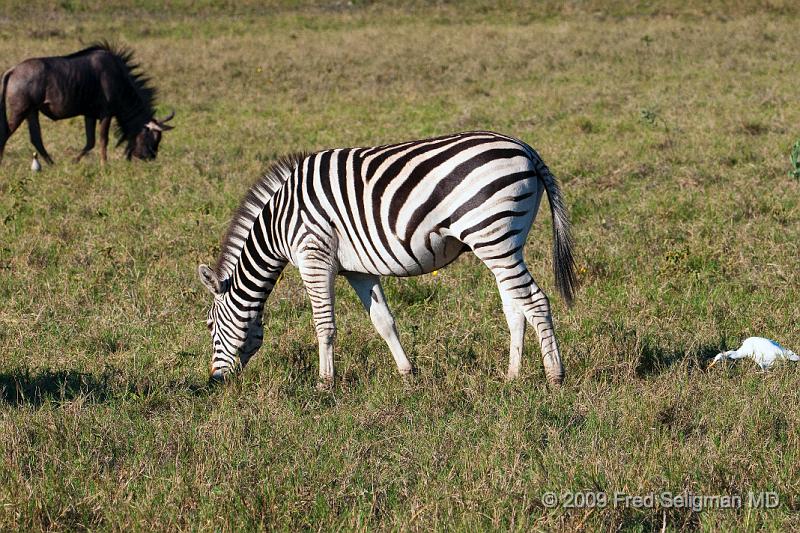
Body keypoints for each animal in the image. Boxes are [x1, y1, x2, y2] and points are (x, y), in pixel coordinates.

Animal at [198, 131, 580, 384]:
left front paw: (325, 383)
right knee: (515, 307)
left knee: (536, 301)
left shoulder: (313, 256)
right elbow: (383, 321)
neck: (279, 223)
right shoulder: (357, 269)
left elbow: (324, 324)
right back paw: (512, 376)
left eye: (210, 326)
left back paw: (555, 376)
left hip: (493, 235)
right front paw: (407, 373)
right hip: (504, 243)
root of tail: (525, 149)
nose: (214, 380)